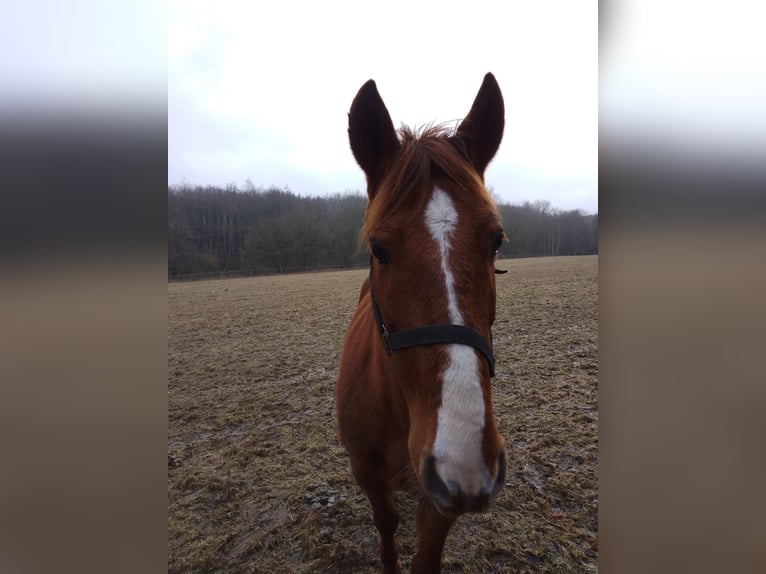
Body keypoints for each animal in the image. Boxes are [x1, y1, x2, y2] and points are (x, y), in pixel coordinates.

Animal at [336, 73, 508, 574]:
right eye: (378, 250)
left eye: (496, 241)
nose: (461, 455)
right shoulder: (368, 475)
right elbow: (386, 526)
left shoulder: (443, 495)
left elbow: (426, 556)